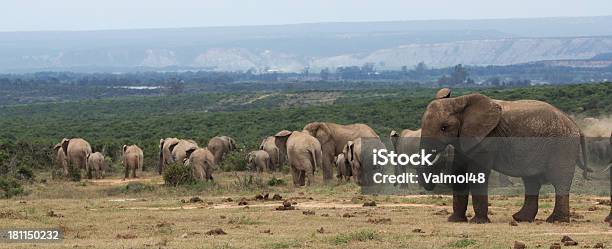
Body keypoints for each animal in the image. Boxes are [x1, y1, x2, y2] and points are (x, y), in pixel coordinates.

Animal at [418, 90, 592, 224]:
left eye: (444, 127)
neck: (460, 100)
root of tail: (576, 126)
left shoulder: (488, 137)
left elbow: (478, 173)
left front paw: (478, 222)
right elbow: (459, 172)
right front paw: (455, 221)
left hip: (562, 146)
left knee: (559, 181)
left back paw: (556, 221)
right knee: (531, 181)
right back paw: (521, 219)